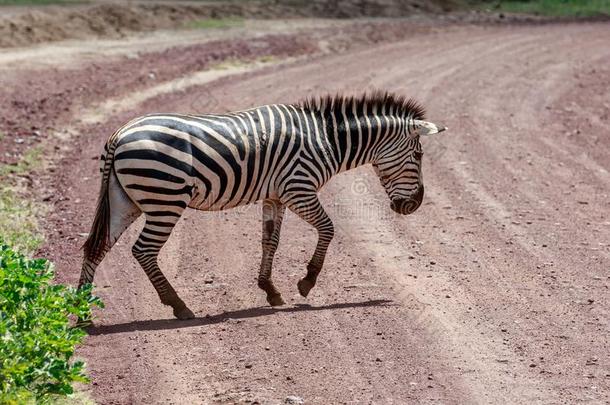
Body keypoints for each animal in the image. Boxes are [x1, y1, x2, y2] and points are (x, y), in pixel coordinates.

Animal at [78, 90, 444, 318]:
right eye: (418, 155)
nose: (414, 205)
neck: (326, 139)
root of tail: (120, 134)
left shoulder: (276, 195)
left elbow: (271, 240)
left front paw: (270, 290)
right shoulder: (299, 189)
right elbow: (328, 228)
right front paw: (306, 282)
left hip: (124, 200)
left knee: (96, 247)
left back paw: (83, 315)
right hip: (164, 199)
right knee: (143, 250)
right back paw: (179, 306)